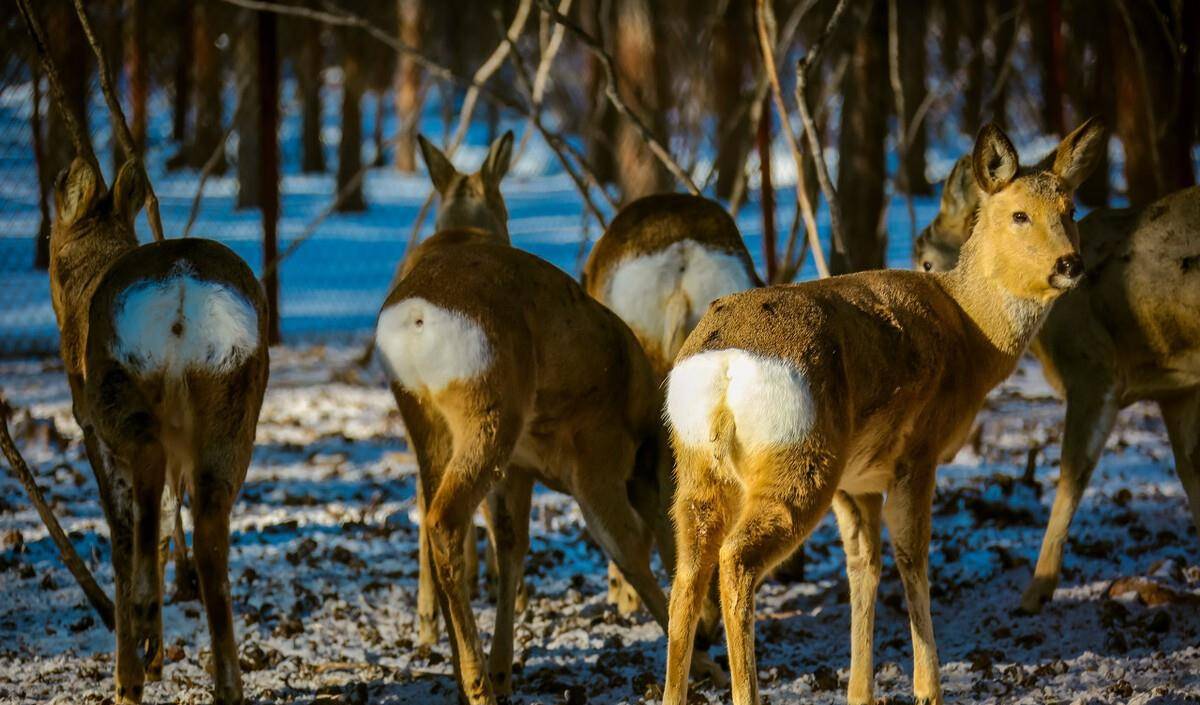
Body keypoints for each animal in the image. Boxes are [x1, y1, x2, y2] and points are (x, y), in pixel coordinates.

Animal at [50, 159, 268, 705]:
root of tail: (182, 290)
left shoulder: (89, 428)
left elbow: (121, 539)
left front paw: (130, 675)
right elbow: (169, 525)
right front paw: (151, 662)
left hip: (118, 389)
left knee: (146, 474)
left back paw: (146, 622)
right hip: (234, 404)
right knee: (210, 534)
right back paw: (226, 684)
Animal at [662, 118, 1099, 700]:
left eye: (1071, 209)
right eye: (1019, 214)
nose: (1070, 264)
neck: (971, 333)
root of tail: (726, 365)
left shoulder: (859, 480)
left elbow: (862, 567)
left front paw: (860, 692)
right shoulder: (918, 452)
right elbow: (912, 558)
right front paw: (928, 689)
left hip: (697, 468)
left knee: (687, 572)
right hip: (799, 460)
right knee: (736, 560)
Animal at [912, 152, 1195, 611]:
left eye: (926, 260)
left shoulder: (1093, 370)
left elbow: (1071, 475)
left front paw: (1035, 591)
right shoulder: (1177, 385)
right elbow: (1190, 474)